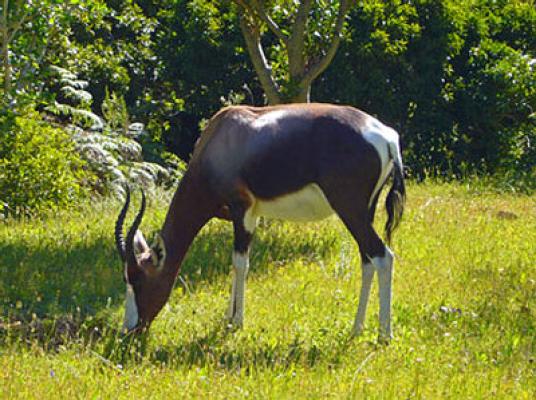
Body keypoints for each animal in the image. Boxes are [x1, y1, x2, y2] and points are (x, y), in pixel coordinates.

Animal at [115, 103, 404, 340]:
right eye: (126, 279)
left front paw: (236, 322)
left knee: (383, 256)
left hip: (350, 210)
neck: (223, 137)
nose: (130, 330)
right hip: (365, 211)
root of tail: (387, 137)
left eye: (138, 280)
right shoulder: (248, 214)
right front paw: (229, 317)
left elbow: (240, 263)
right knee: (367, 260)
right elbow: (236, 264)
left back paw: (383, 336)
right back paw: (356, 329)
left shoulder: (241, 210)